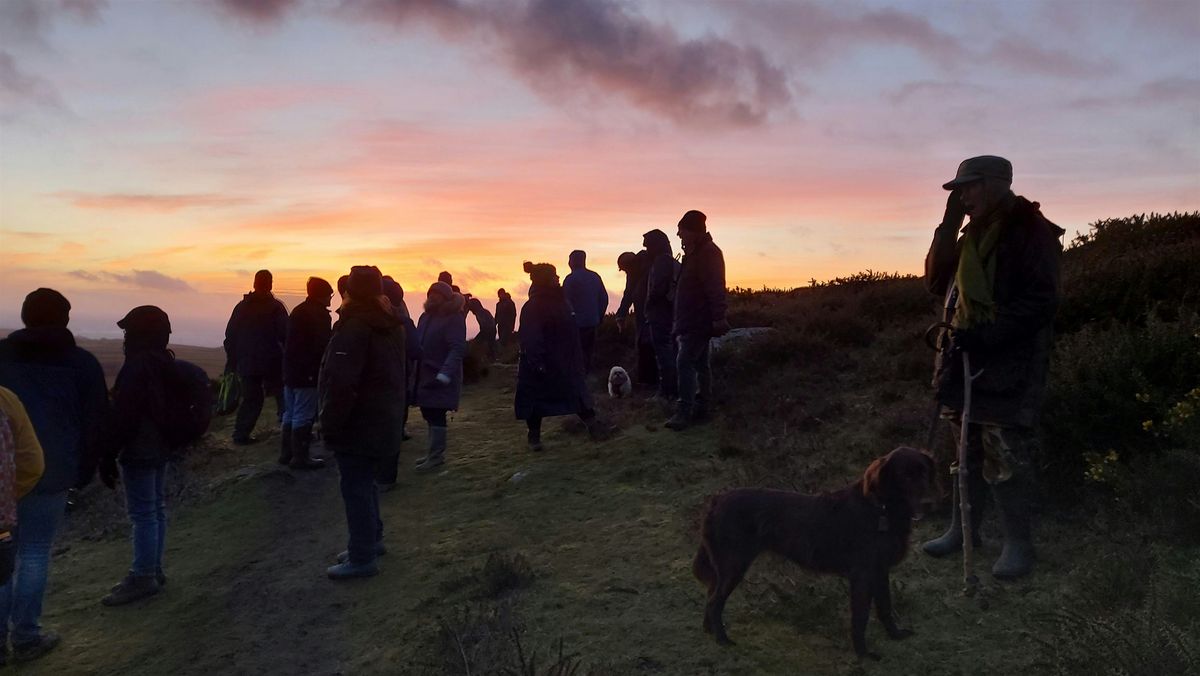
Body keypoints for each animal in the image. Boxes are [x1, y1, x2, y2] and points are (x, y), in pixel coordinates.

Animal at [696, 446, 936, 657]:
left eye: (924, 471)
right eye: (904, 476)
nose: (929, 502)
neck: (881, 509)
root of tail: (716, 500)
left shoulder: (880, 570)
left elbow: (885, 607)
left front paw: (895, 635)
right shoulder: (862, 574)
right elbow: (861, 617)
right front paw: (863, 653)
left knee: (710, 595)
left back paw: (709, 631)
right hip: (734, 564)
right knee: (714, 601)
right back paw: (722, 639)